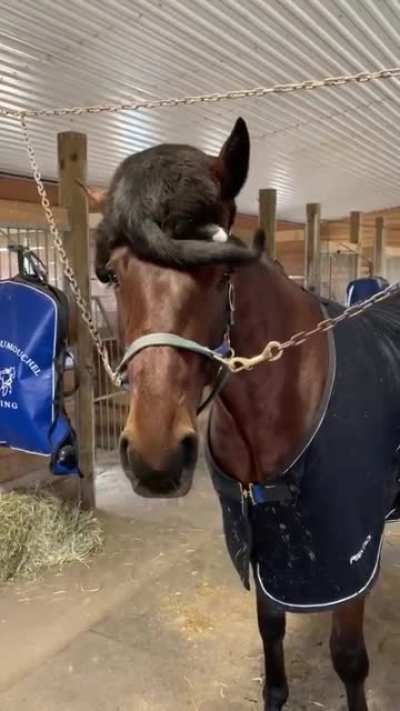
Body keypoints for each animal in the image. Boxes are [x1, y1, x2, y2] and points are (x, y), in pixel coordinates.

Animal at [93, 118, 400, 711]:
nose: (155, 459)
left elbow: (349, 658)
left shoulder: (348, 556)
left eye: (220, 274)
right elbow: (270, 631)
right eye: (115, 276)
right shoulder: (264, 544)